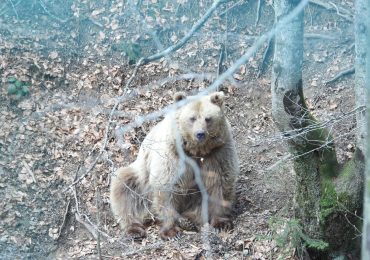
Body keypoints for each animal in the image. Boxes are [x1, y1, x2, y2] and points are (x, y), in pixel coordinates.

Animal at [110, 91, 238, 240]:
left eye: (208, 118)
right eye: (192, 118)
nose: (200, 133)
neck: (197, 151)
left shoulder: (218, 153)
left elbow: (220, 184)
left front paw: (221, 223)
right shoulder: (173, 156)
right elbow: (167, 187)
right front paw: (170, 230)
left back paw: (188, 219)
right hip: (141, 179)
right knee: (125, 187)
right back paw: (134, 229)